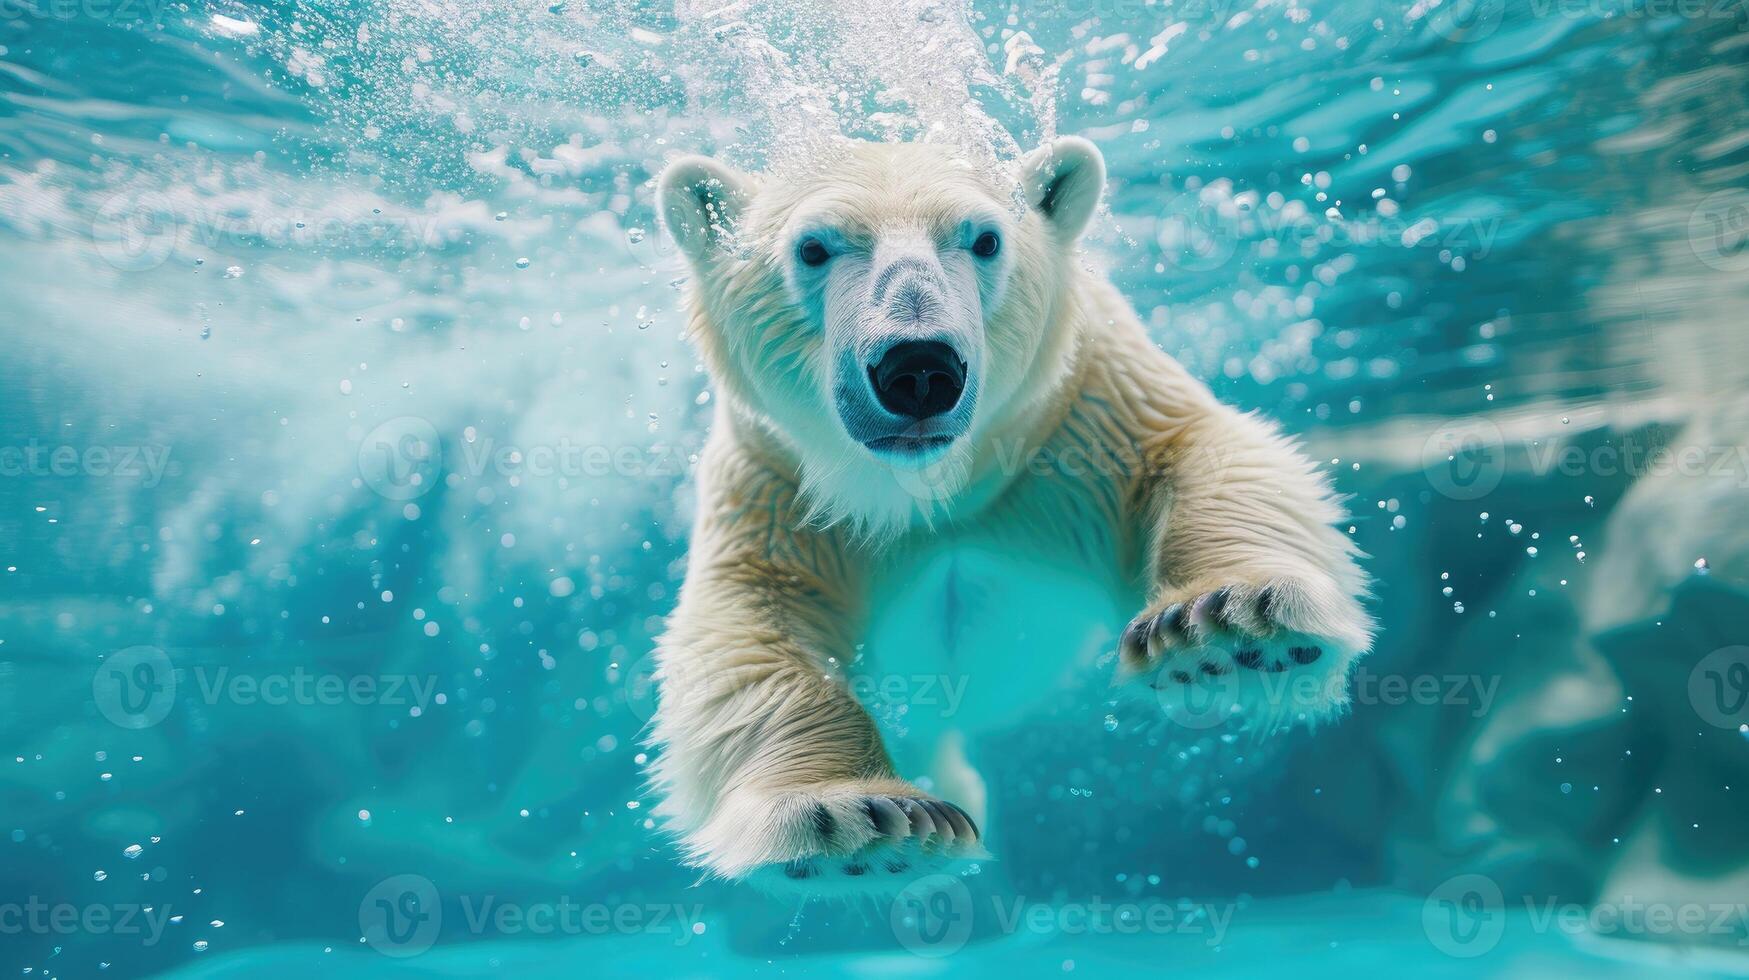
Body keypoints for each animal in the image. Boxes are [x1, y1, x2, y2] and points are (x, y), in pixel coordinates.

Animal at [650, 140, 1371, 896]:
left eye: (984, 239)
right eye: (813, 248)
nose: (919, 369)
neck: (929, 489)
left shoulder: (1077, 407)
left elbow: (1198, 455)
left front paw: (1221, 627)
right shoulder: (778, 477)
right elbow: (752, 624)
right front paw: (860, 822)